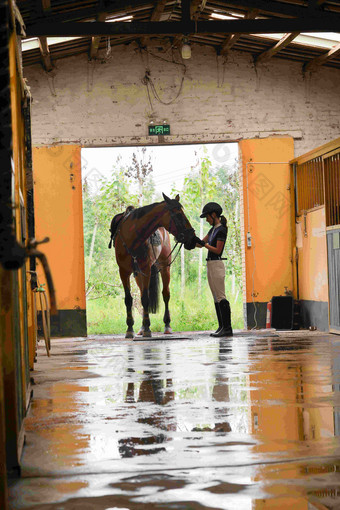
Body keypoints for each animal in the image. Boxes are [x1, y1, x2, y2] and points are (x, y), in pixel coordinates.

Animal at [110, 193, 197, 336]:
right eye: (178, 214)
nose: (192, 238)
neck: (132, 237)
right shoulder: (124, 271)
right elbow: (129, 299)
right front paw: (130, 328)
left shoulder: (146, 269)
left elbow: (146, 298)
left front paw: (147, 328)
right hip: (138, 274)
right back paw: (141, 327)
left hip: (164, 267)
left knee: (165, 294)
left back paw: (167, 325)